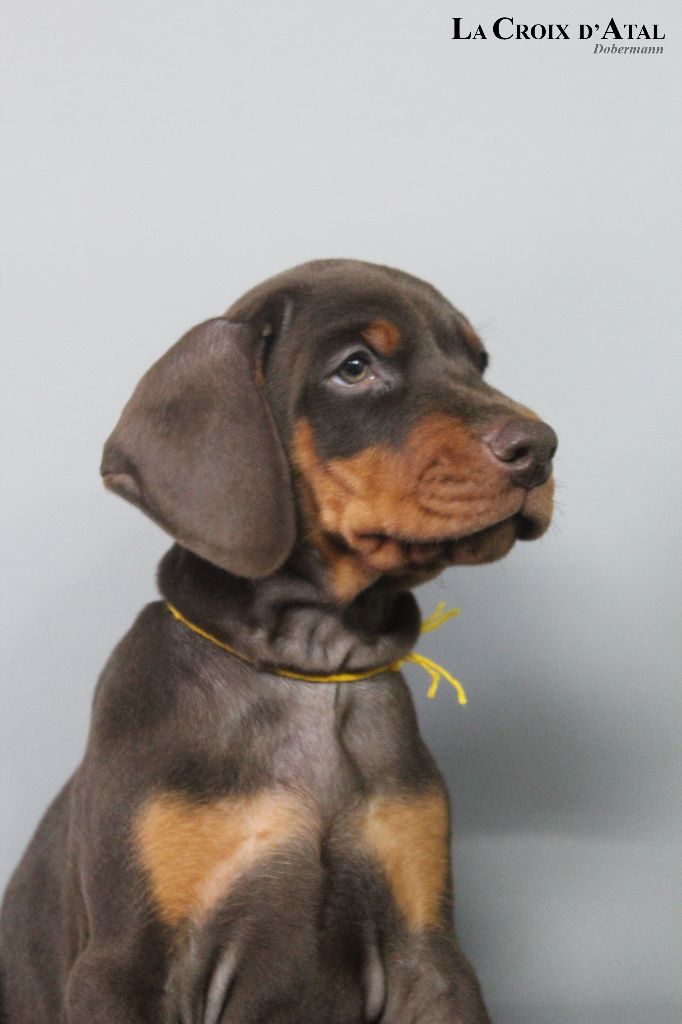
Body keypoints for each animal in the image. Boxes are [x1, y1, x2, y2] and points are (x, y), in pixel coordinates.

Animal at [0, 259, 556, 1023]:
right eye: (355, 366)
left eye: (477, 363)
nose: (541, 449)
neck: (310, 666)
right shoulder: (125, 965)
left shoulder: (430, 956)